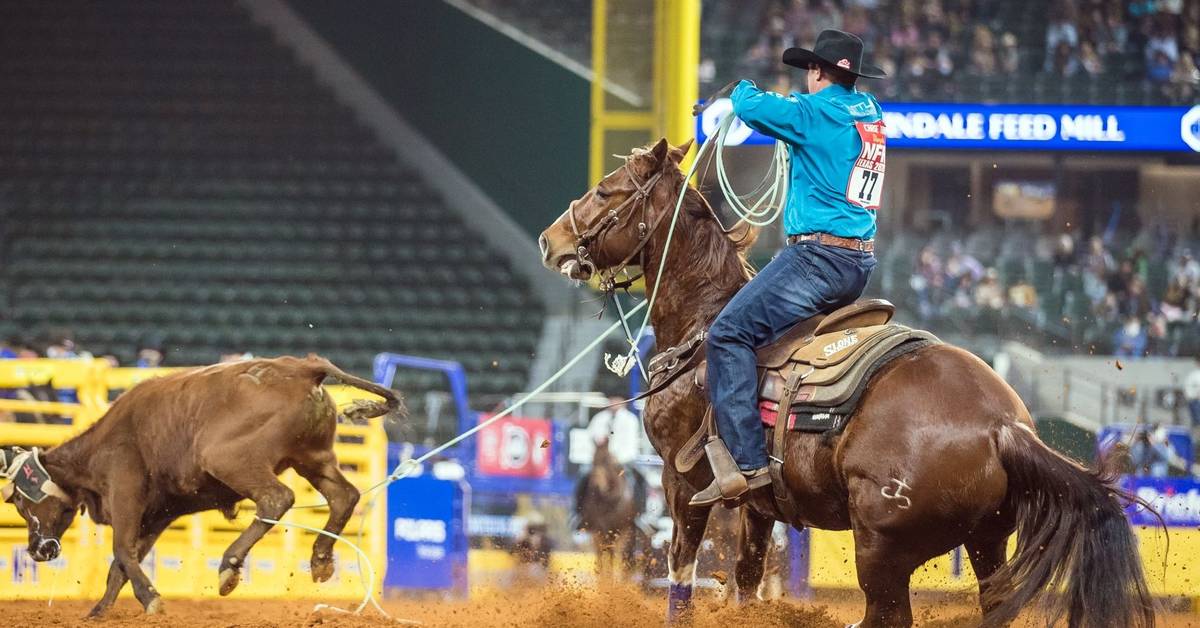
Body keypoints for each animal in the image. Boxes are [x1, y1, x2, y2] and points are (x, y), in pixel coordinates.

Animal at [540, 139, 1156, 628]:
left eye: (605, 191)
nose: (550, 240)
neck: (704, 323)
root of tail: (1003, 426)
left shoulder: (682, 479)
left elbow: (681, 577)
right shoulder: (758, 506)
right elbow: (746, 581)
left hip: (881, 550)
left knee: (886, 615)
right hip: (987, 541)